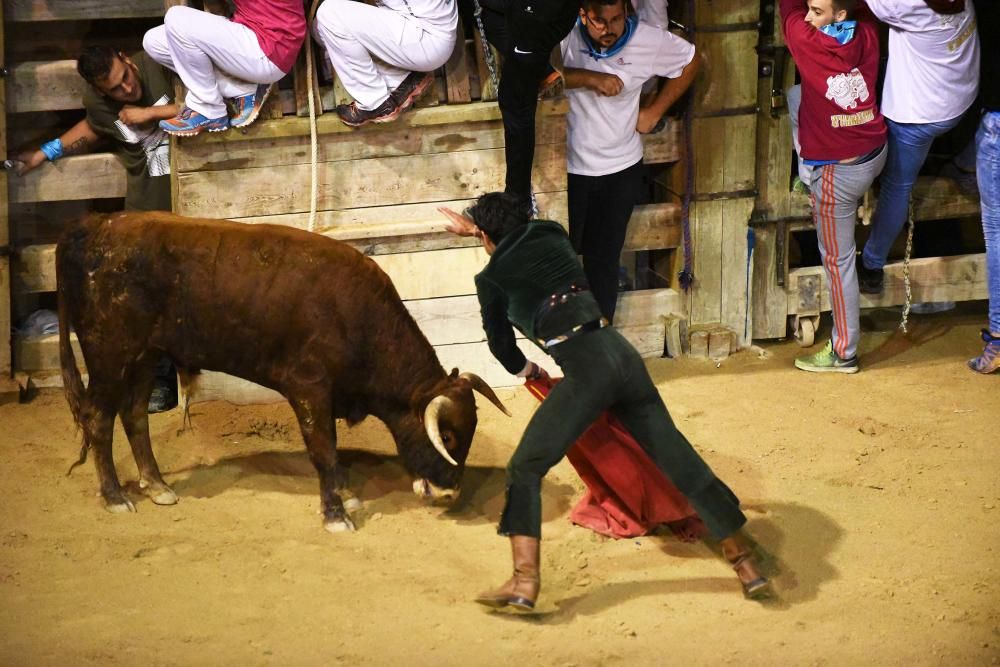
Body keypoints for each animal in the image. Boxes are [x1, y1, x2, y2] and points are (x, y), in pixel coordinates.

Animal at [56, 213, 508, 532]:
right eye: (447, 437)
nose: (450, 492)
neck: (357, 318)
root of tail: (90, 226)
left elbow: (333, 450)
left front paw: (345, 493)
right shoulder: (309, 389)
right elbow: (323, 449)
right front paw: (336, 515)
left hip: (145, 356)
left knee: (134, 415)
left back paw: (157, 486)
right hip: (108, 356)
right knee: (98, 418)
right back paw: (115, 497)